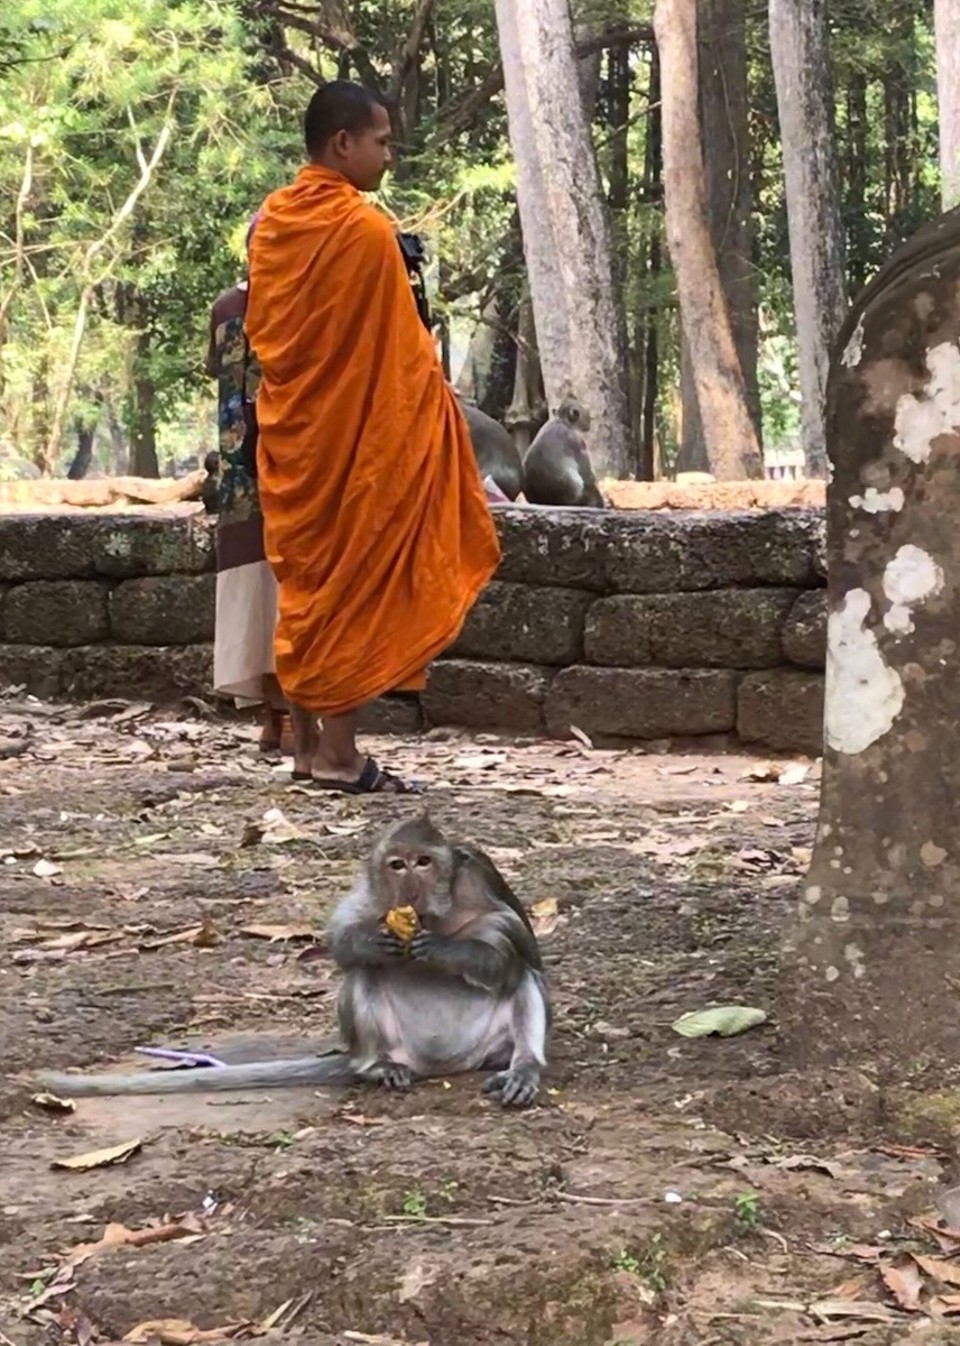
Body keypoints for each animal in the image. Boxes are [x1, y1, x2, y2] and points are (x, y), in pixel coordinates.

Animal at [36, 817, 549, 1109]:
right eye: (397, 865)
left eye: (424, 862)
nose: (410, 887)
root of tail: (442, 1067)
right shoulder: (372, 893)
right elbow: (342, 936)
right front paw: (373, 940)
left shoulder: (479, 875)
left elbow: (516, 946)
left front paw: (444, 950)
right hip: (394, 1046)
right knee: (362, 975)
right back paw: (375, 1066)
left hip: (489, 1048)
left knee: (524, 979)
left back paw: (523, 1068)